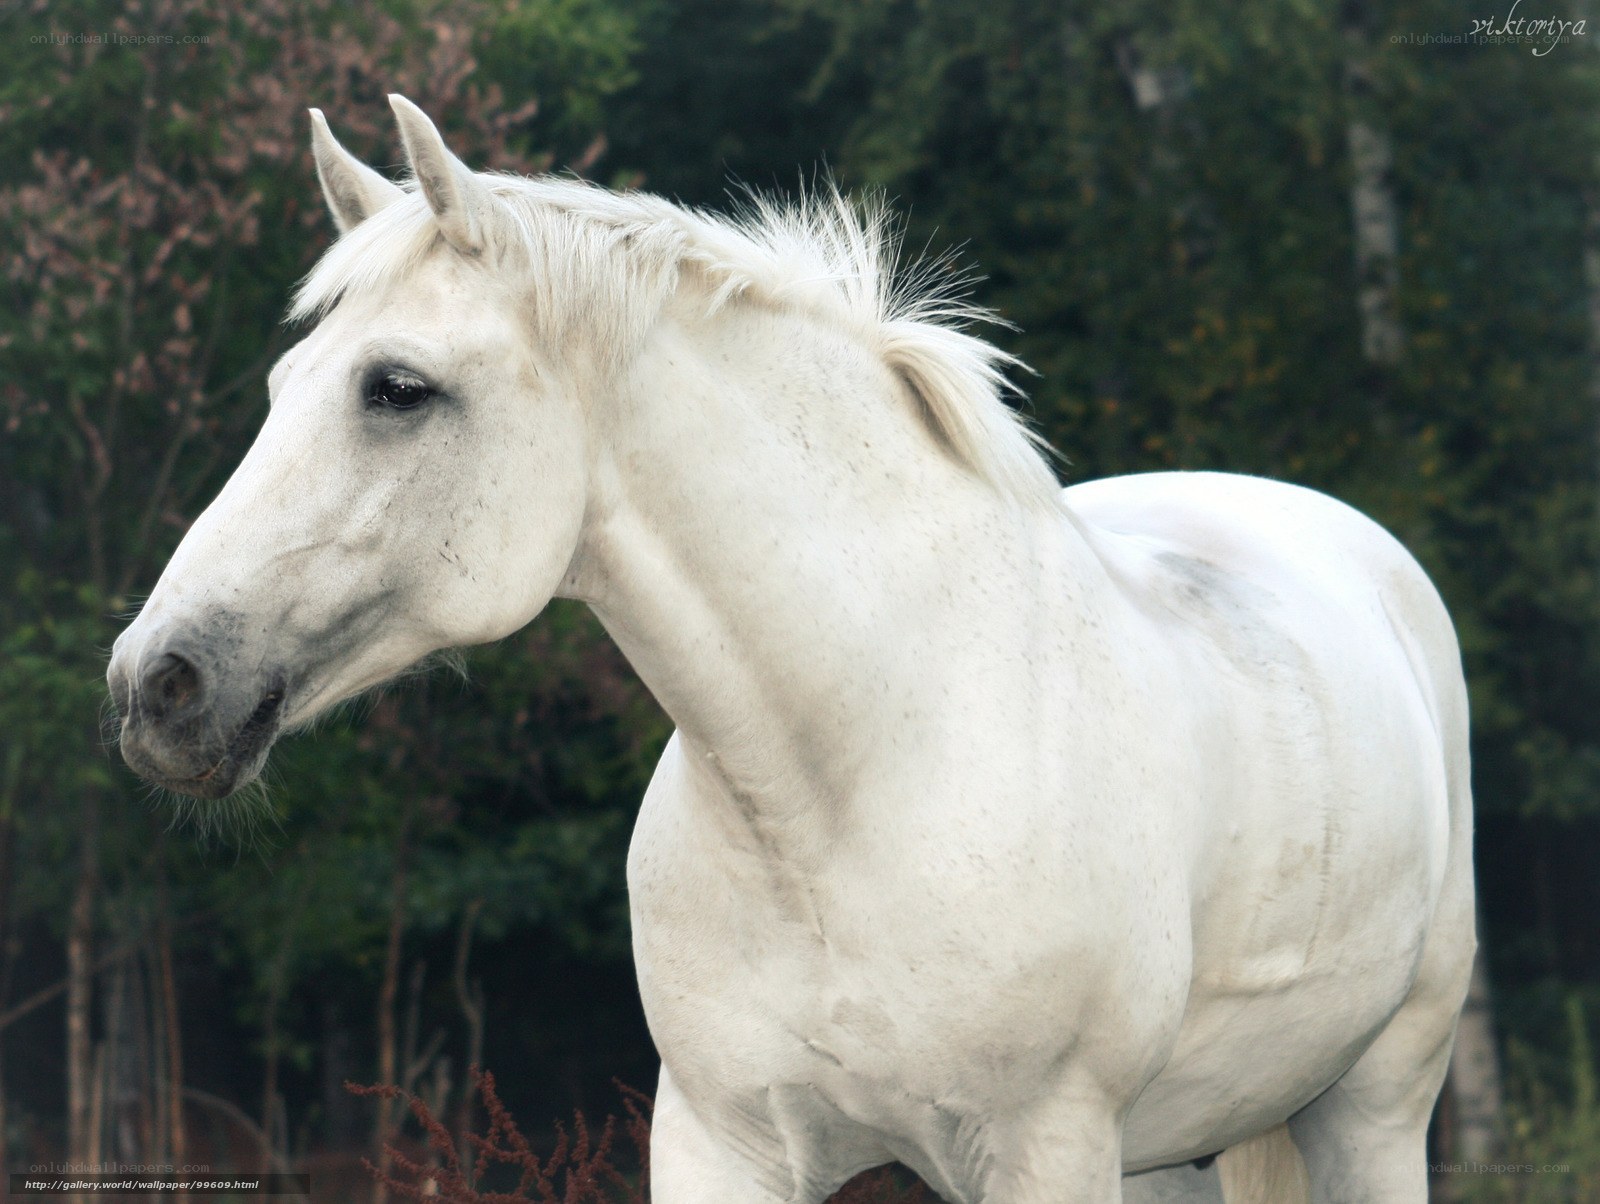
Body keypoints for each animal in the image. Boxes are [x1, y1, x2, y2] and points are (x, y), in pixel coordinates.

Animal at [107, 96, 1476, 1203]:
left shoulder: (1047, 1147)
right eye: (285, 381)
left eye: (396, 387)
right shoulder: (723, 1143)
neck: (853, 788)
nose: (156, 684)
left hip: (1370, 1110)